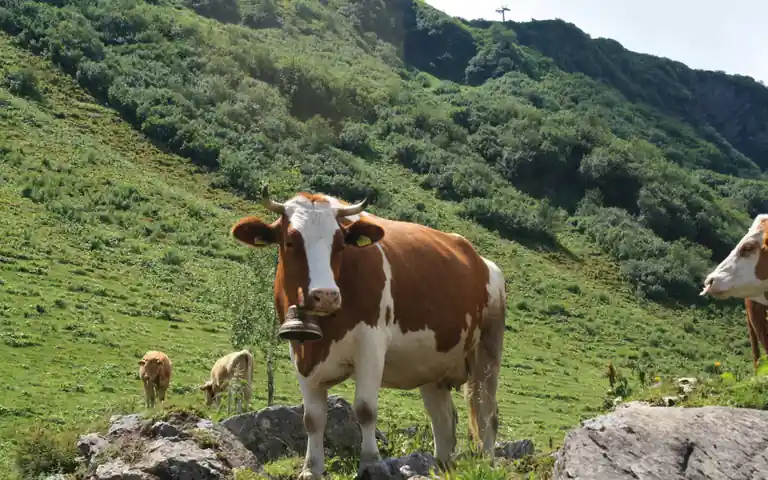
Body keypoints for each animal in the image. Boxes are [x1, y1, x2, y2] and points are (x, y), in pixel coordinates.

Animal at [230, 187, 506, 479]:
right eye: (290, 241)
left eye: (340, 244)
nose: (326, 295)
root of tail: (482, 261)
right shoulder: (301, 352)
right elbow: (312, 418)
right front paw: (311, 468)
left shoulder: (371, 346)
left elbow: (365, 409)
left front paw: (371, 463)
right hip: (433, 366)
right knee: (443, 419)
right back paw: (442, 466)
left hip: (486, 352)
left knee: (486, 412)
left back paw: (487, 463)